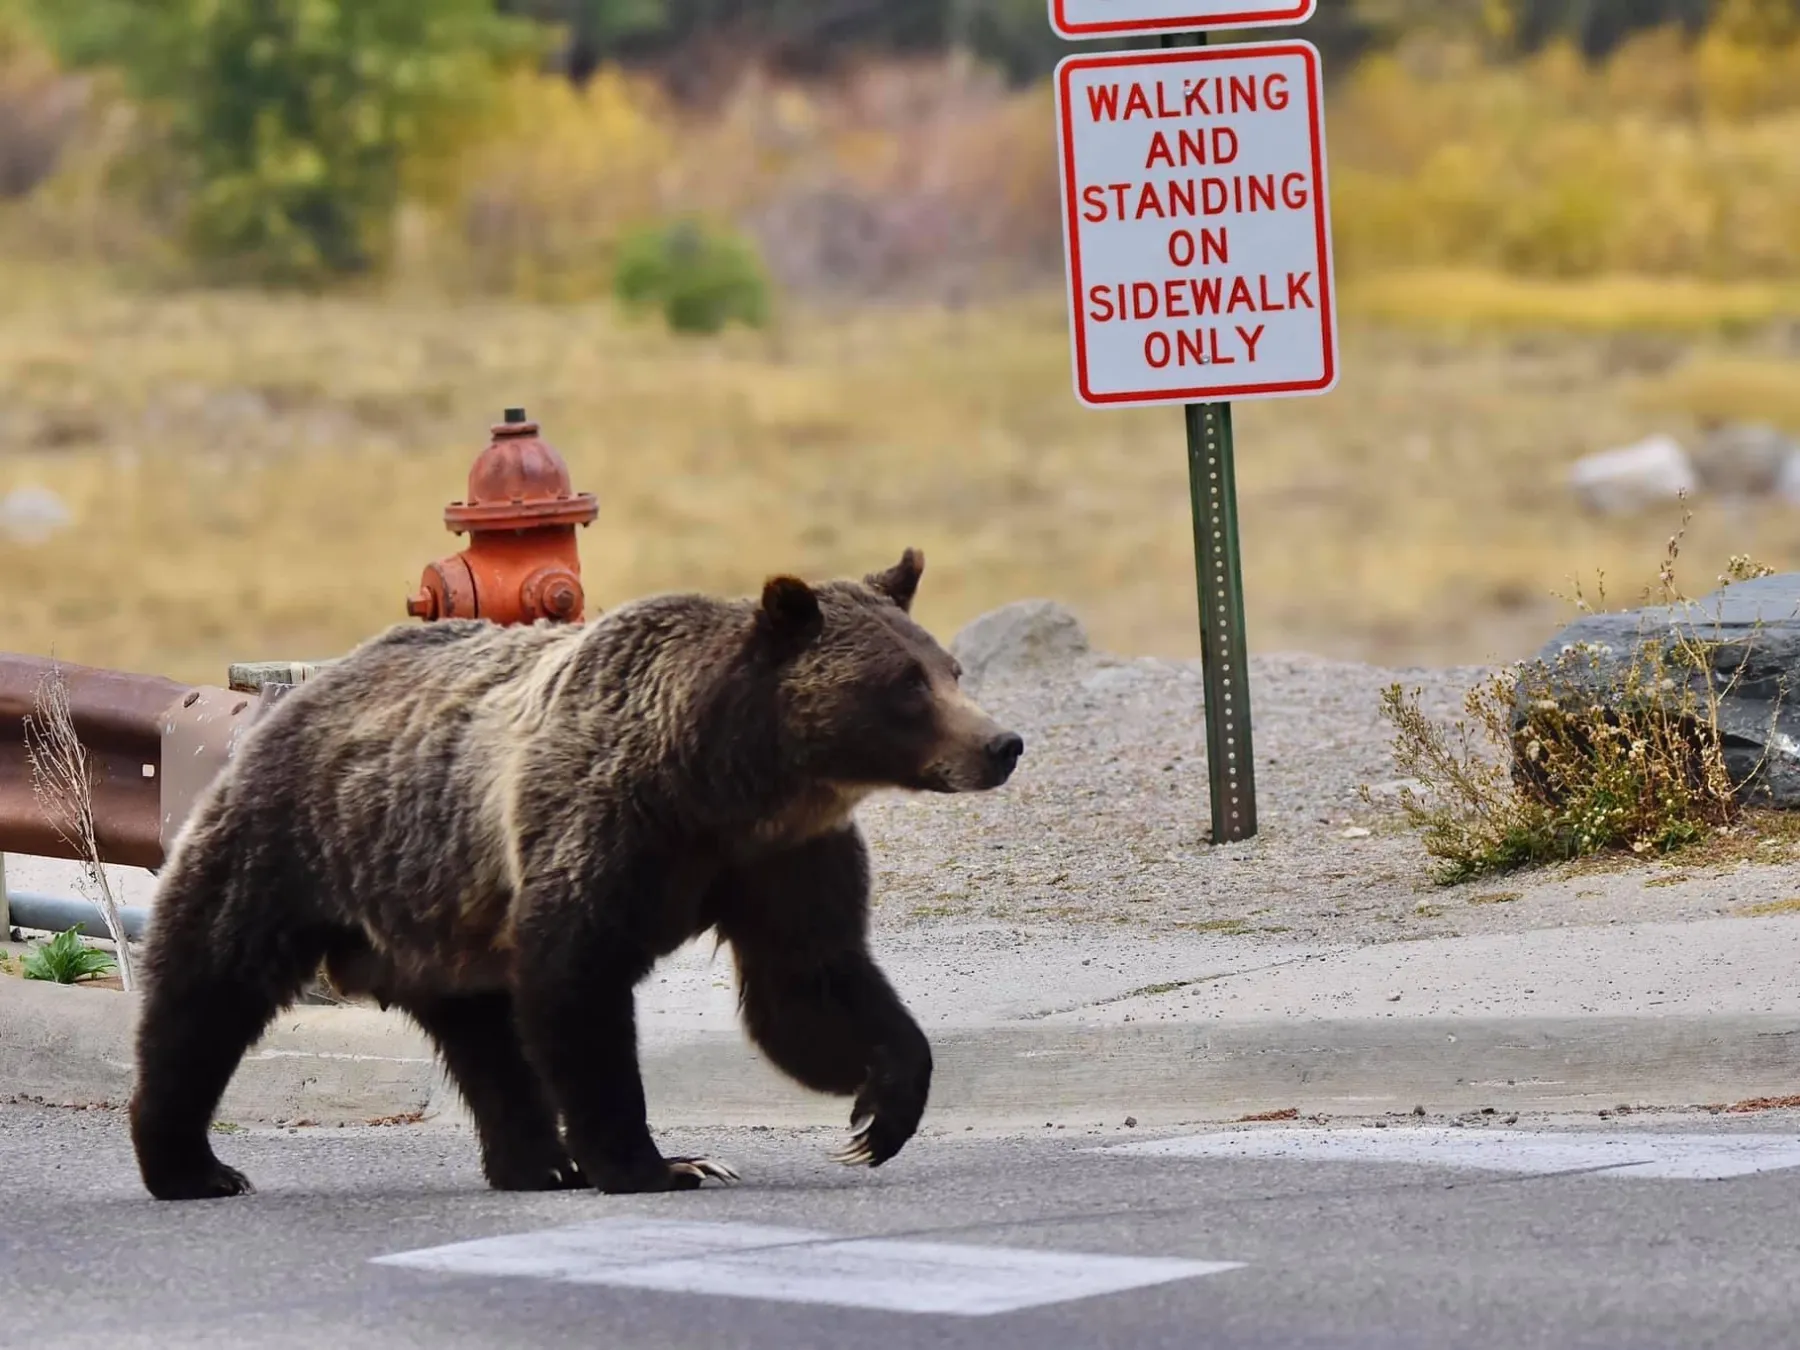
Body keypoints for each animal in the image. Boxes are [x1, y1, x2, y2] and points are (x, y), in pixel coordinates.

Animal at [127, 548, 1024, 1201]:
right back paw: (192, 1165)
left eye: (949, 669)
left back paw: (538, 1164)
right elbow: (578, 984)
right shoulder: (608, 823)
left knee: (487, 1042)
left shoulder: (784, 856)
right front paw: (657, 1164)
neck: (730, 780)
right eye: (907, 684)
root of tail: (293, 695)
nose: (1001, 743)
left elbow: (809, 982)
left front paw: (880, 1107)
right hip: (299, 845)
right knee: (208, 988)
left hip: (440, 916)